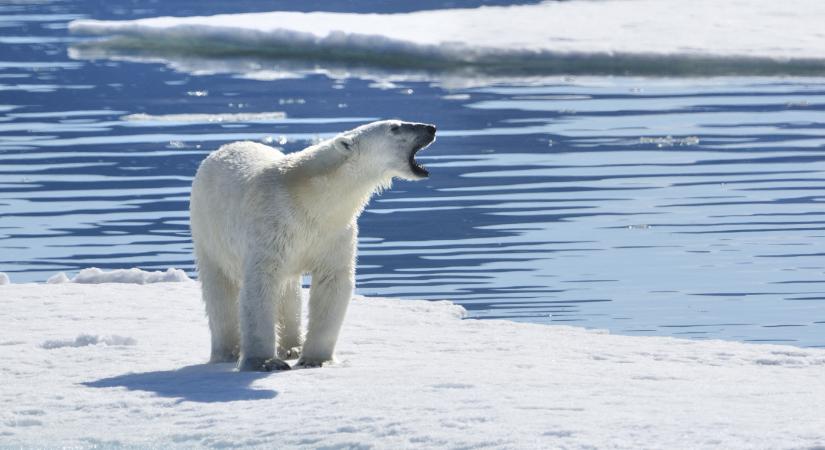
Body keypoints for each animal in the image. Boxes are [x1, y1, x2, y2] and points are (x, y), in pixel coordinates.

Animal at [190, 119, 438, 372]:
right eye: (395, 127)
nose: (431, 128)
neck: (310, 199)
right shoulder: (270, 226)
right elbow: (260, 285)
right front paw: (264, 362)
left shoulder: (333, 233)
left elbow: (332, 284)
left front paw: (314, 359)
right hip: (208, 230)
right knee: (219, 291)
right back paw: (227, 352)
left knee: (289, 293)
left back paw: (292, 346)